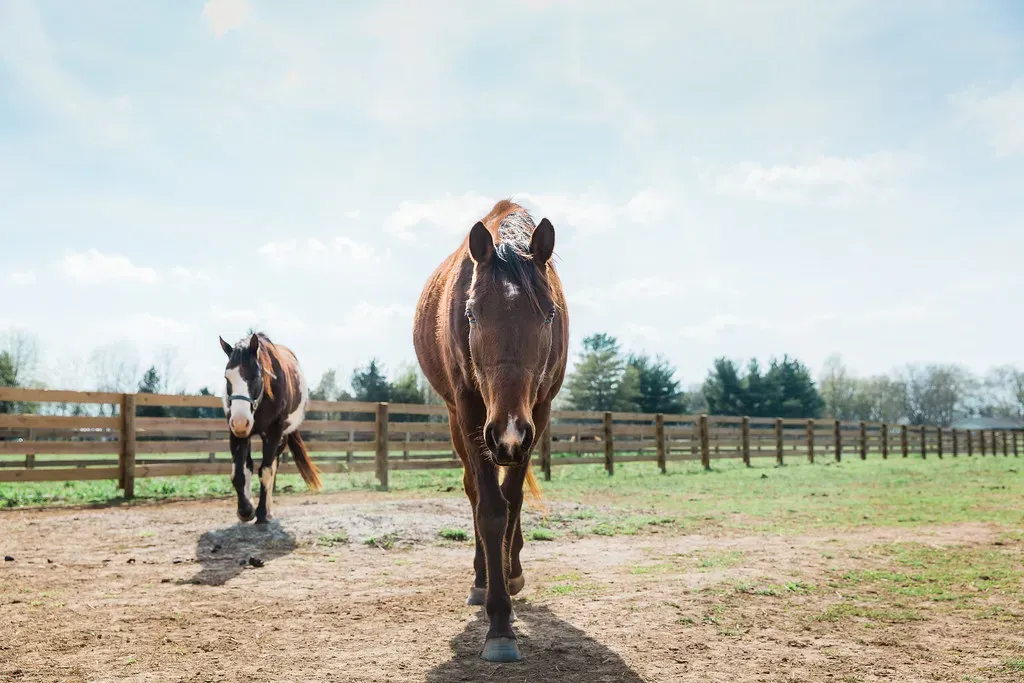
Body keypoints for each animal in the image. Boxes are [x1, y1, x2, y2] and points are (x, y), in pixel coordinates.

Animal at [218, 332, 322, 524]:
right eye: (227, 378)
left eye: (255, 376)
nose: (240, 421)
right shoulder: (237, 433)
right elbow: (239, 473)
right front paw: (245, 510)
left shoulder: (274, 433)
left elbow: (266, 472)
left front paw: (260, 513)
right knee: (250, 466)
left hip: (281, 439)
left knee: (273, 468)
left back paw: (268, 511)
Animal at [413, 199, 569, 662]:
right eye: (470, 314)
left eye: (549, 314)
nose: (509, 431)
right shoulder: (470, 411)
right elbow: (490, 509)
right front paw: (498, 624)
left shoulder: (538, 411)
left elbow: (512, 502)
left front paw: (509, 584)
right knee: (473, 491)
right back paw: (483, 580)